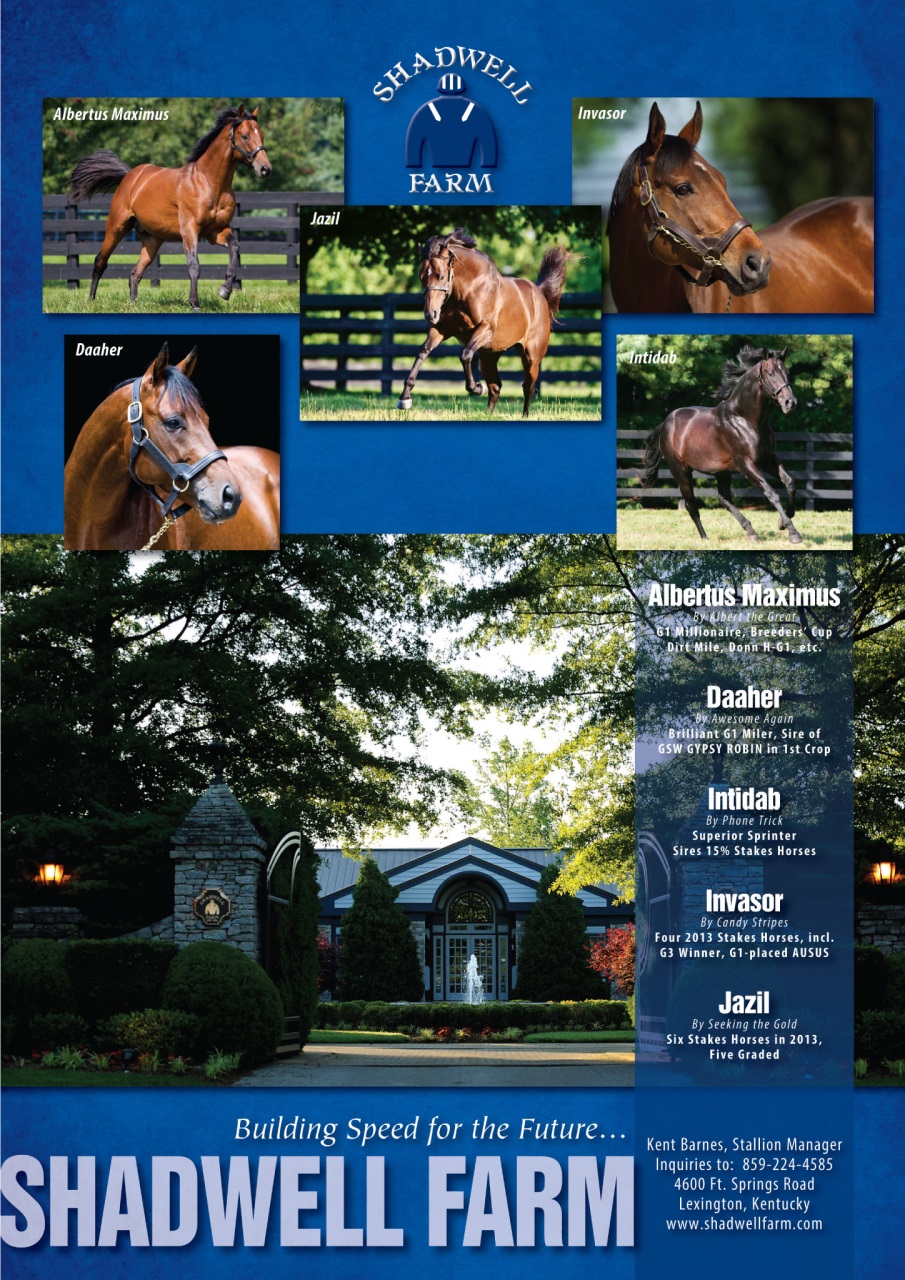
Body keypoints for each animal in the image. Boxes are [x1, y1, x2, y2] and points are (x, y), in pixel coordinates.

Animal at [69, 105, 272, 312]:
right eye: (245, 136)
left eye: (262, 135)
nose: (265, 169)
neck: (208, 182)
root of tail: (130, 176)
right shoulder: (190, 230)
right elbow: (194, 266)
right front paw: (194, 303)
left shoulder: (216, 231)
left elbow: (234, 246)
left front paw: (225, 290)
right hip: (116, 228)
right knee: (100, 261)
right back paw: (91, 300)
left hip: (152, 240)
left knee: (135, 272)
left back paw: (133, 304)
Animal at [397, 229, 579, 416]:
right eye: (421, 277)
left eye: (440, 276)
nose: (430, 314)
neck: (470, 289)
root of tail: (539, 293)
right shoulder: (441, 329)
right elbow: (423, 352)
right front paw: (405, 398)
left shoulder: (485, 329)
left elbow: (465, 354)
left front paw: (477, 388)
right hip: (489, 356)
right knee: (496, 387)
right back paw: (488, 413)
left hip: (531, 357)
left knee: (528, 386)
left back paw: (524, 415)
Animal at [640, 346, 803, 543]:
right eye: (770, 373)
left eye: (787, 372)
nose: (790, 403)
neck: (744, 419)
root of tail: (666, 423)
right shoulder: (746, 464)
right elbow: (772, 493)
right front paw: (793, 532)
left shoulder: (768, 459)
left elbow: (790, 482)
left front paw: (782, 522)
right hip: (681, 472)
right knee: (692, 506)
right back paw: (705, 539)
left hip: (722, 472)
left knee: (724, 499)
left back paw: (751, 532)